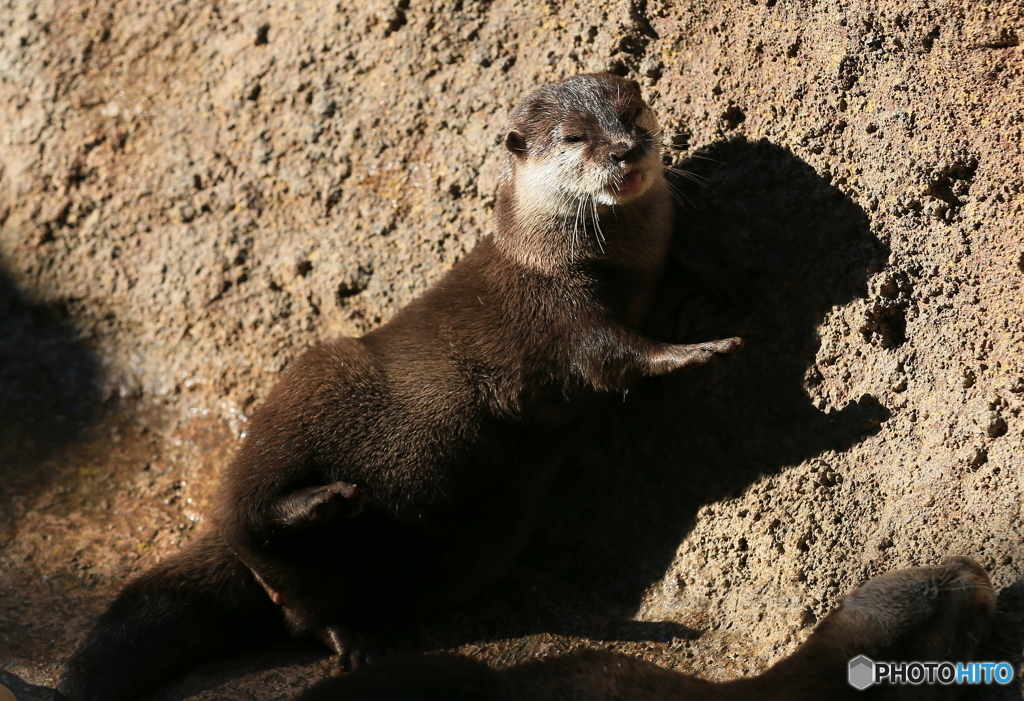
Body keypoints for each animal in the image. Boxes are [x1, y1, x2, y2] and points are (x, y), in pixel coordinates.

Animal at [56, 72, 741, 699]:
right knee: (259, 534)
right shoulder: (561, 312)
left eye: (633, 114)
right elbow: (614, 357)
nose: (624, 149)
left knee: (312, 605)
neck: (573, 258)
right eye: (574, 137)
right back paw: (323, 513)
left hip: (460, 558)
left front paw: (720, 276)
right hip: (304, 392)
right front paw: (701, 350)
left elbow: (675, 278)